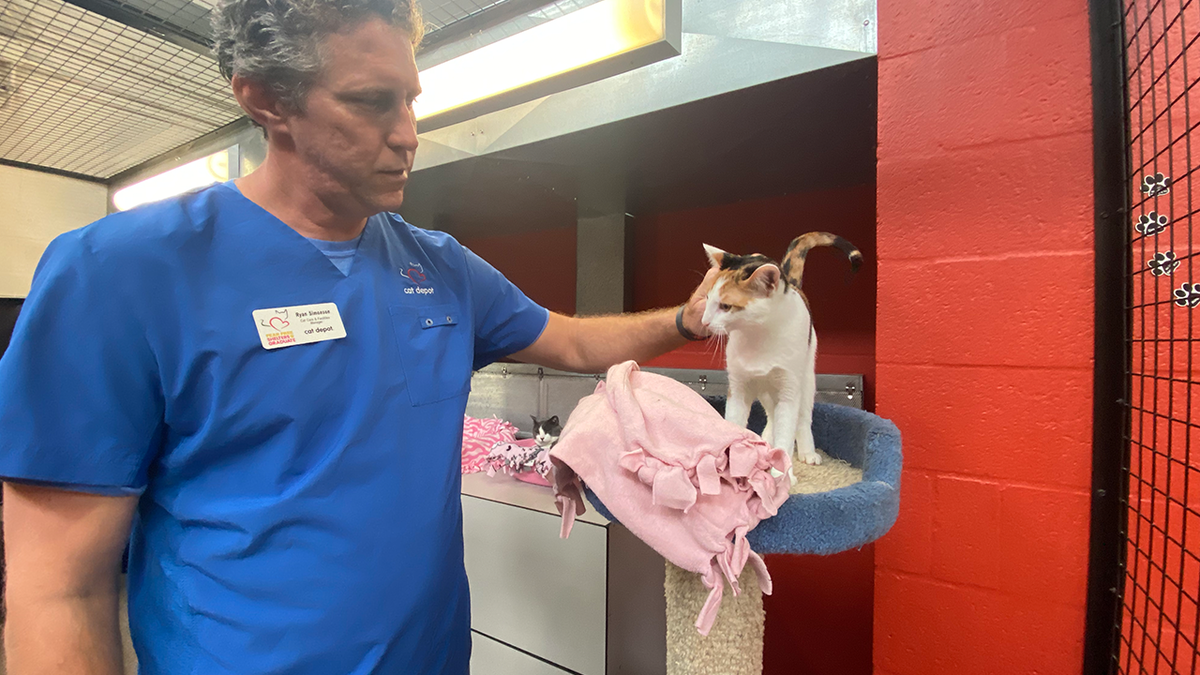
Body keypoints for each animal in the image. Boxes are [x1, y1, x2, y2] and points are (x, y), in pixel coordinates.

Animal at [700, 230, 864, 478]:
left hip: (806, 379)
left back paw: (807, 452)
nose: (704, 322)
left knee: (802, 418)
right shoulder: (738, 388)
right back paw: (767, 441)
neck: (758, 336)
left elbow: (787, 430)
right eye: (708, 299)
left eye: (726, 306)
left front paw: (781, 476)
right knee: (771, 417)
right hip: (767, 391)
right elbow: (736, 424)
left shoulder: (788, 391)